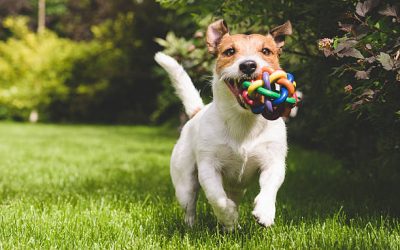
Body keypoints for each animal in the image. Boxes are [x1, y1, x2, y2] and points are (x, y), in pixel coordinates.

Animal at [155, 19, 292, 230]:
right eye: (229, 51)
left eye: (266, 51)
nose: (248, 65)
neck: (243, 120)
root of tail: (197, 112)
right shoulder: (208, 167)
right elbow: (217, 198)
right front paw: (228, 215)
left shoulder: (273, 162)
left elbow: (270, 187)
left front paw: (265, 212)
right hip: (184, 183)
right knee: (190, 205)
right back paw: (196, 226)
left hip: (237, 189)